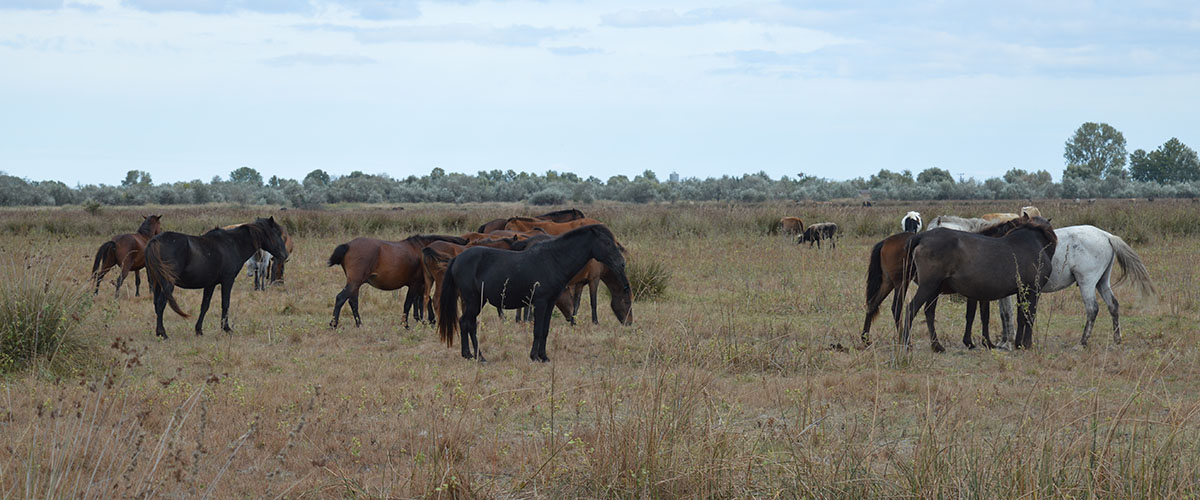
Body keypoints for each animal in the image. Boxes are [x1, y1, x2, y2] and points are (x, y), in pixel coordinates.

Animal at [141, 215, 286, 338]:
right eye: (277, 234)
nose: (284, 255)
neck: (232, 244)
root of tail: (155, 241)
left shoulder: (210, 284)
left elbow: (205, 305)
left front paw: (199, 330)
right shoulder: (227, 281)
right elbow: (225, 304)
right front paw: (226, 328)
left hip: (156, 283)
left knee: (156, 304)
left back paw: (158, 332)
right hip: (167, 284)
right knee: (161, 304)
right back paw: (163, 334)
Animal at [326, 232, 470, 326]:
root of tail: (348, 245)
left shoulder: (421, 285)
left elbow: (424, 300)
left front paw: (427, 320)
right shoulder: (415, 284)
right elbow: (409, 302)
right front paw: (406, 324)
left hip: (355, 284)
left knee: (352, 302)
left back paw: (359, 323)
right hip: (355, 283)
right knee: (341, 298)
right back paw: (334, 324)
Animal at [436, 224, 633, 359]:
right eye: (607, 242)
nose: (622, 263)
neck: (553, 260)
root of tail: (457, 258)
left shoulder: (550, 302)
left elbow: (544, 330)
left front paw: (543, 356)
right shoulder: (540, 302)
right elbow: (537, 329)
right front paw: (534, 356)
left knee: (466, 323)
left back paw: (469, 355)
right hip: (474, 300)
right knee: (467, 323)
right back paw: (479, 356)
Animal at [897, 214, 1056, 350]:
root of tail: (922, 236)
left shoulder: (1019, 291)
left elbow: (1019, 316)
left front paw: (1016, 343)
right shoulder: (1033, 290)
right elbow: (1029, 315)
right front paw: (1026, 344)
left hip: (934, 289)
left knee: (929, 312)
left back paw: (936, 346)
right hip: (928, 286)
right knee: (911, 310)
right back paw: (907, 344)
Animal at [993, 225, 1152, 347]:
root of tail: (1106, 235)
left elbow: (1006, 314)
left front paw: (1005, 342)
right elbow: (1006, 313)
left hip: (1087, 282)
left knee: (1092, 309)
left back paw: (1083, 342)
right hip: (1102, 282)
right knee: (1113, 305)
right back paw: (1116, 339)